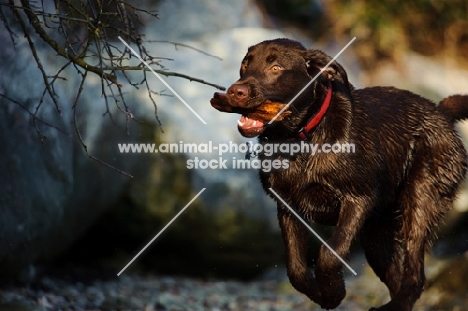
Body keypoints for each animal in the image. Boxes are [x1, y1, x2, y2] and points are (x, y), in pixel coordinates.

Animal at [211, 37, 468, 310]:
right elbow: (296, 269)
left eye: (276, 68)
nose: (235, 92)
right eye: (245, 64)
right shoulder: (287, 206)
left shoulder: (358, 199)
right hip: (377, 237)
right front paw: (322, 294)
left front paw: (334, 291)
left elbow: (329, 254)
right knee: (397, 276)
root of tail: (441, 112)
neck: (302, 139)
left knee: (415, 275)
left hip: (420, 202)